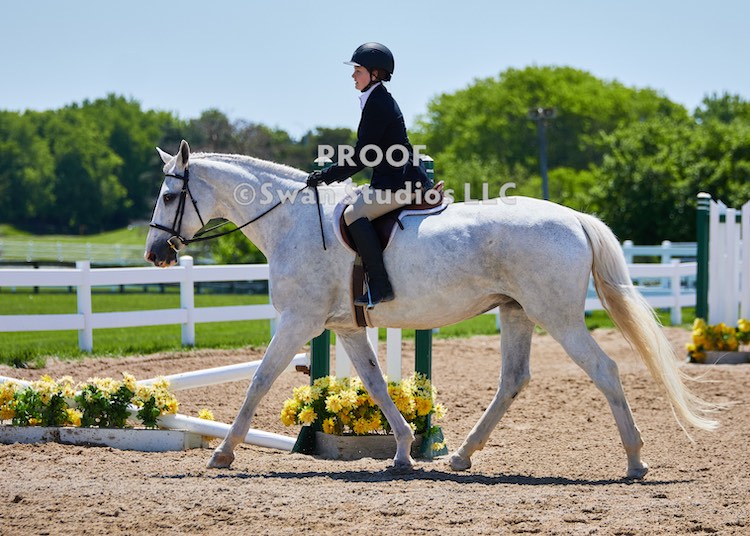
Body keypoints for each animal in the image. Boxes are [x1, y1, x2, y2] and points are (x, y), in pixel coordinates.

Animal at [145, 140, 717, 479]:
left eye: (170, 194)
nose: (155, 254)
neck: (293, 221)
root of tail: (574, 217)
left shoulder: (299, 321)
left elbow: (259, 380)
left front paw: (223, 452)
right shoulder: (345, 327)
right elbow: (375, 383)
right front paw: (402, 450)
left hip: (557, 315)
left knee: (604, 369)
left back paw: (636, 461)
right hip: (516, 312)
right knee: (513, 379)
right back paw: (462, 454)